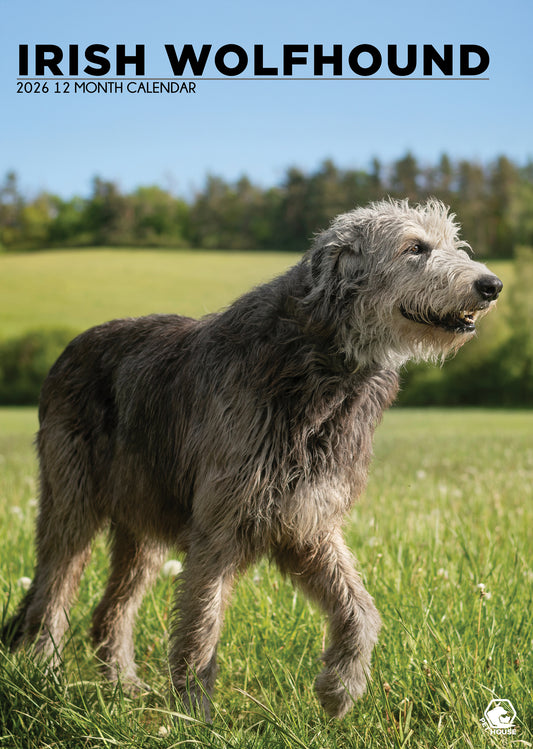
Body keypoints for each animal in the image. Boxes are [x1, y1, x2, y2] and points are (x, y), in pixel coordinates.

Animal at [2, 199, 500, 720]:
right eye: (414, 248)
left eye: (452, 243)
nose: (492, 285)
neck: (323, 369)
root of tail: (68, 350)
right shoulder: (220, 524)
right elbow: (201, 626)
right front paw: (193, 717)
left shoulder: (307, 520)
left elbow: (360, 609)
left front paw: (340, 687)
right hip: (72, 498)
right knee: (51, 594)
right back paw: (47, 679)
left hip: (145, 518)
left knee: (108, 612)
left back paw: (122, 687)